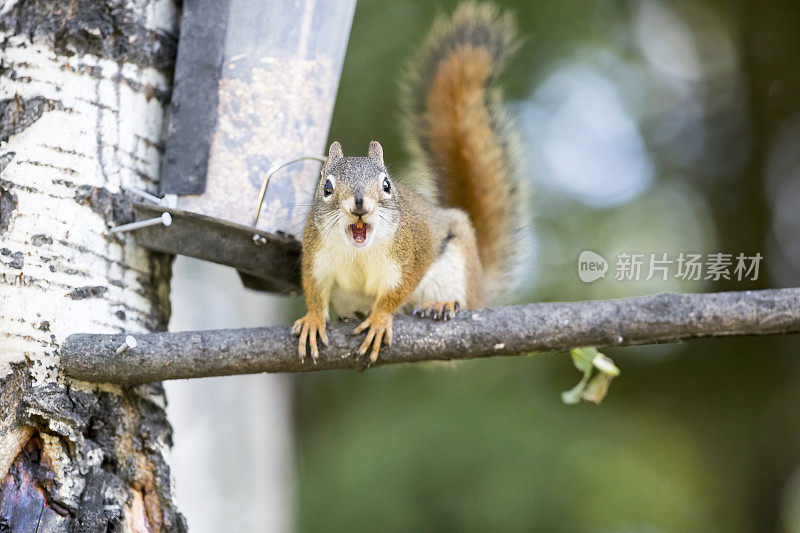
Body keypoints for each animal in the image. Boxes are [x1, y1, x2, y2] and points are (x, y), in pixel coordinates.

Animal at [294, 1, 524, 362]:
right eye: (327, 188)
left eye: (387, 185)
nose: (359, 204)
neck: (360, 251)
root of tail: (481, 290)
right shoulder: (316, 256)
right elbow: (314, 289)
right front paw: (314, 319)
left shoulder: (414, 252)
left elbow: (397, 292)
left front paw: (379, 319)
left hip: (456, 268)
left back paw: (441, 305)